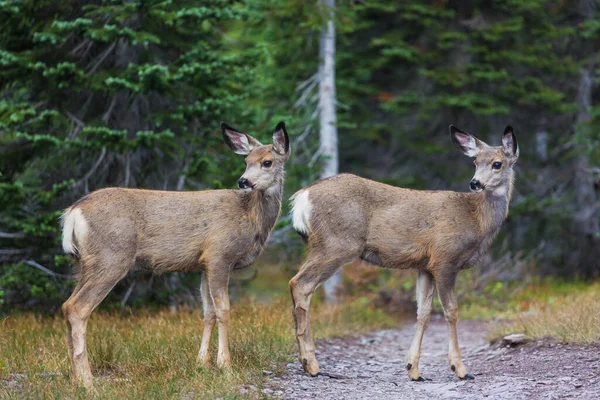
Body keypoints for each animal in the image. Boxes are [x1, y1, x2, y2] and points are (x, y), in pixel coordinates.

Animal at [61, 121, 290, 388]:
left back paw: (75, 378)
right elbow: (223, 310)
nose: (243, 181)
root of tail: (73, 212)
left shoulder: (203, 264)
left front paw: (202, 363)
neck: (250, 218)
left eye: (267, 162)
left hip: (83, 263)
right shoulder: (219, 255)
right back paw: (88, 382)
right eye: (246, 161)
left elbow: (208, 312)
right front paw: (225, 366)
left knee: (66, 305)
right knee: (78, 308)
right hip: (111, 258)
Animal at [288, 125, 516, 382]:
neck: (477, 219)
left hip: (324, 245)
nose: (475, 183)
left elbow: (423, 312)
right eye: (475, 161)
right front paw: (460, 369)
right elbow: (451, 311)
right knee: (300, 284)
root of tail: (301, 197)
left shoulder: (425, 266)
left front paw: (413, 369)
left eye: (497, 163)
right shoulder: (445, 259)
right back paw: (311, 364)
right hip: (336, 244)